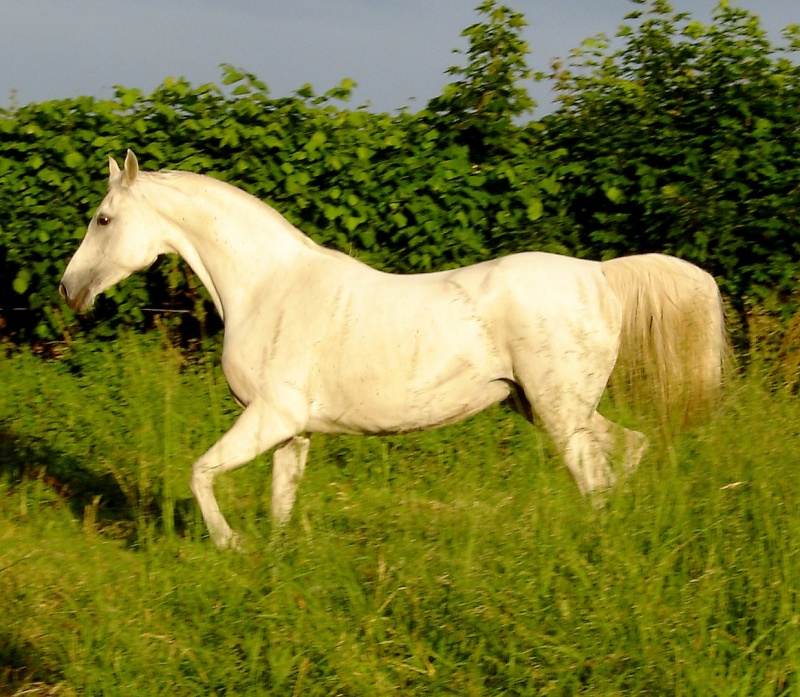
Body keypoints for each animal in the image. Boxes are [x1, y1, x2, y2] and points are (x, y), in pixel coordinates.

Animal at [59, 151, 728, 548]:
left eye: (102, 219)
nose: (69, 289)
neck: (268, 287)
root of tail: (599, 274)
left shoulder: (270, 417)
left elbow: (200, 473)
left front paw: (229, 545)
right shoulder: (292, 432)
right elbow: (280, 504)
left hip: (560, 414)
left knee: (596, 479)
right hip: (549, 409)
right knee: (628, 452)